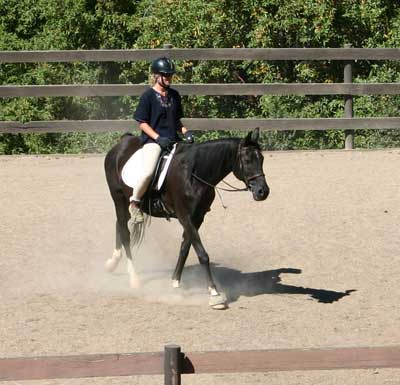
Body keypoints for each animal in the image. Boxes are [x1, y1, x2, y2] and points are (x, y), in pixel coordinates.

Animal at [104, 127, 270, 308]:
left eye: (261, 159)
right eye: (247, 160)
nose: (263, 191)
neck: (194, 174)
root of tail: (122, 143)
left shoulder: (197, 218)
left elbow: (185, 249)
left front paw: (175, 282)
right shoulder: (185, 217)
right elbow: (202, 254)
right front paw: (214, 293)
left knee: (119, 225)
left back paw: (112, 263)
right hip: (118, 198)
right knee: (124, 232)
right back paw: (134, 279)